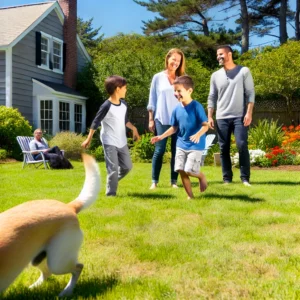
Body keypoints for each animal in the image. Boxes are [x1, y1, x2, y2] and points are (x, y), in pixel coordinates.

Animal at [0, 154, 101, 296]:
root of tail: (69, 206)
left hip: (58, 261)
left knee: (78, 267)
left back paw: (67, 291)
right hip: (38, 257)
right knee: (47, 272)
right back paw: (33, 287)